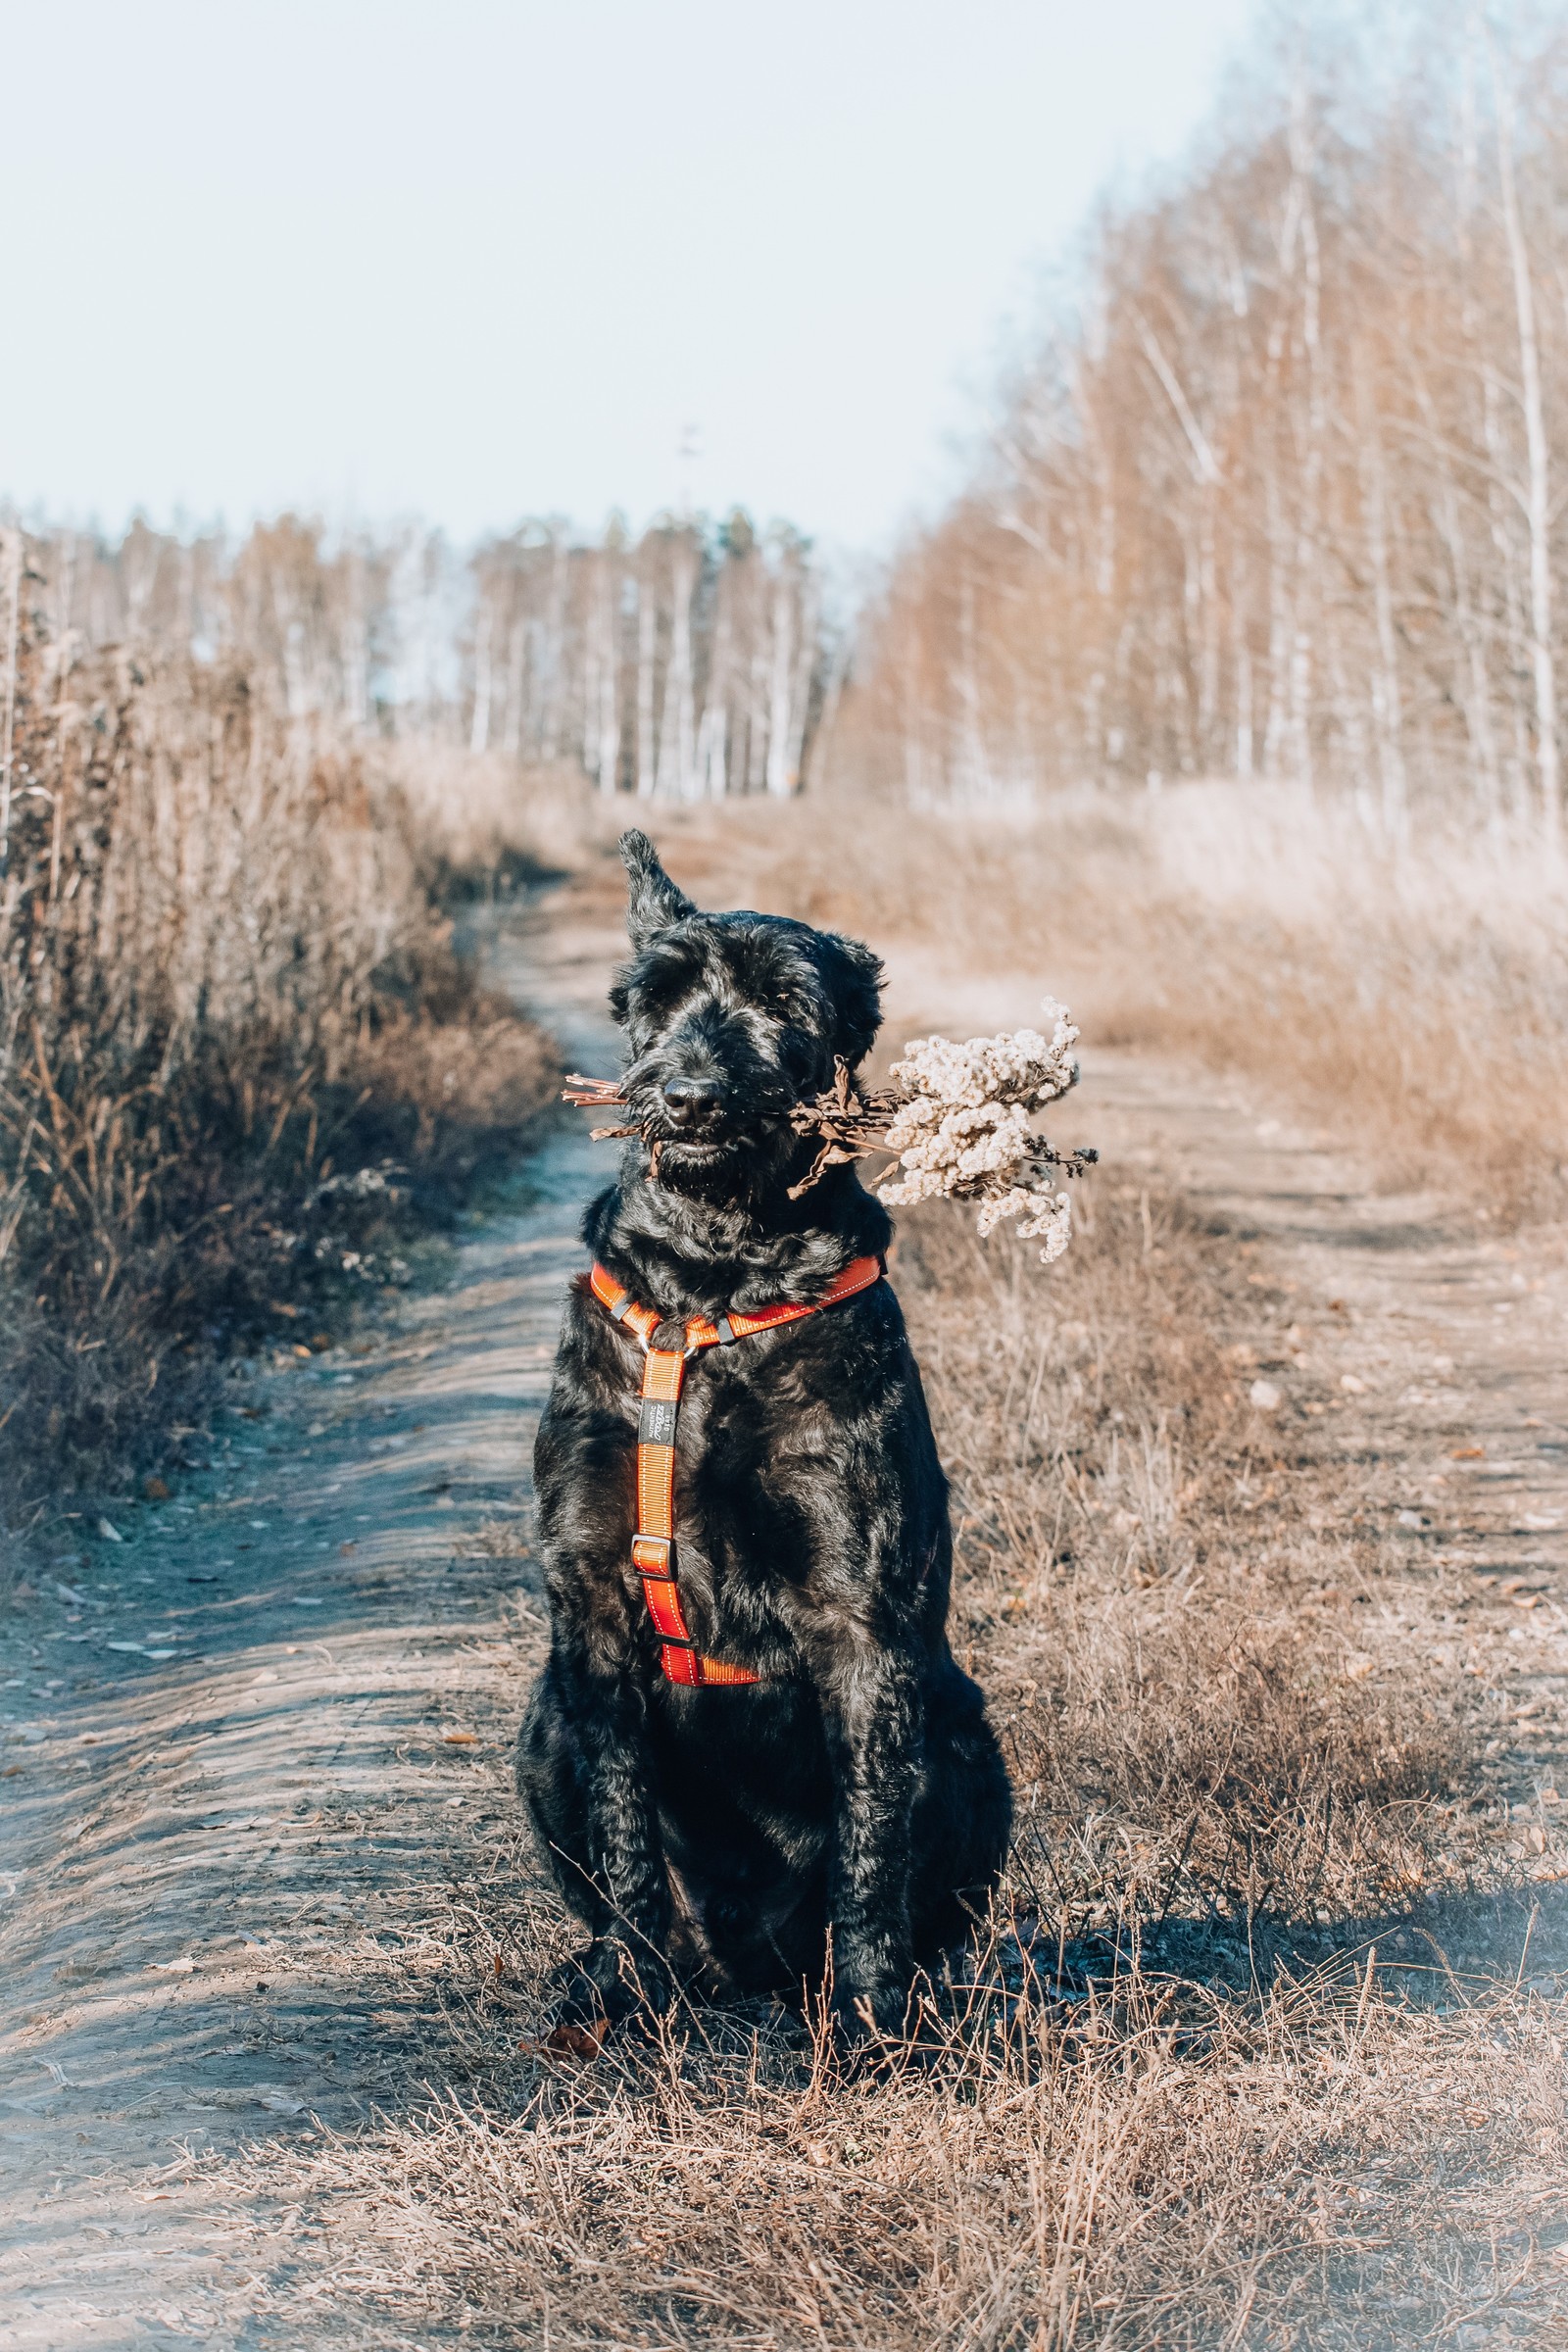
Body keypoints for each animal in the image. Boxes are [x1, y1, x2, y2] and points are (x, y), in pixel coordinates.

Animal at [521, 837, 1010, 2050]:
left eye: (786, 1003)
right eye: (655, 996)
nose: (690, 1095)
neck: (713, 1283)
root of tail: (749, 1960)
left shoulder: (860, 1612)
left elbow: (872, 1847)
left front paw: (873, 2018)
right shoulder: (588, 1605)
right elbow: (623, 1830)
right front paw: (630, 1992)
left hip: (966, 1733)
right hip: (541, 1718)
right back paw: (604, 1971)